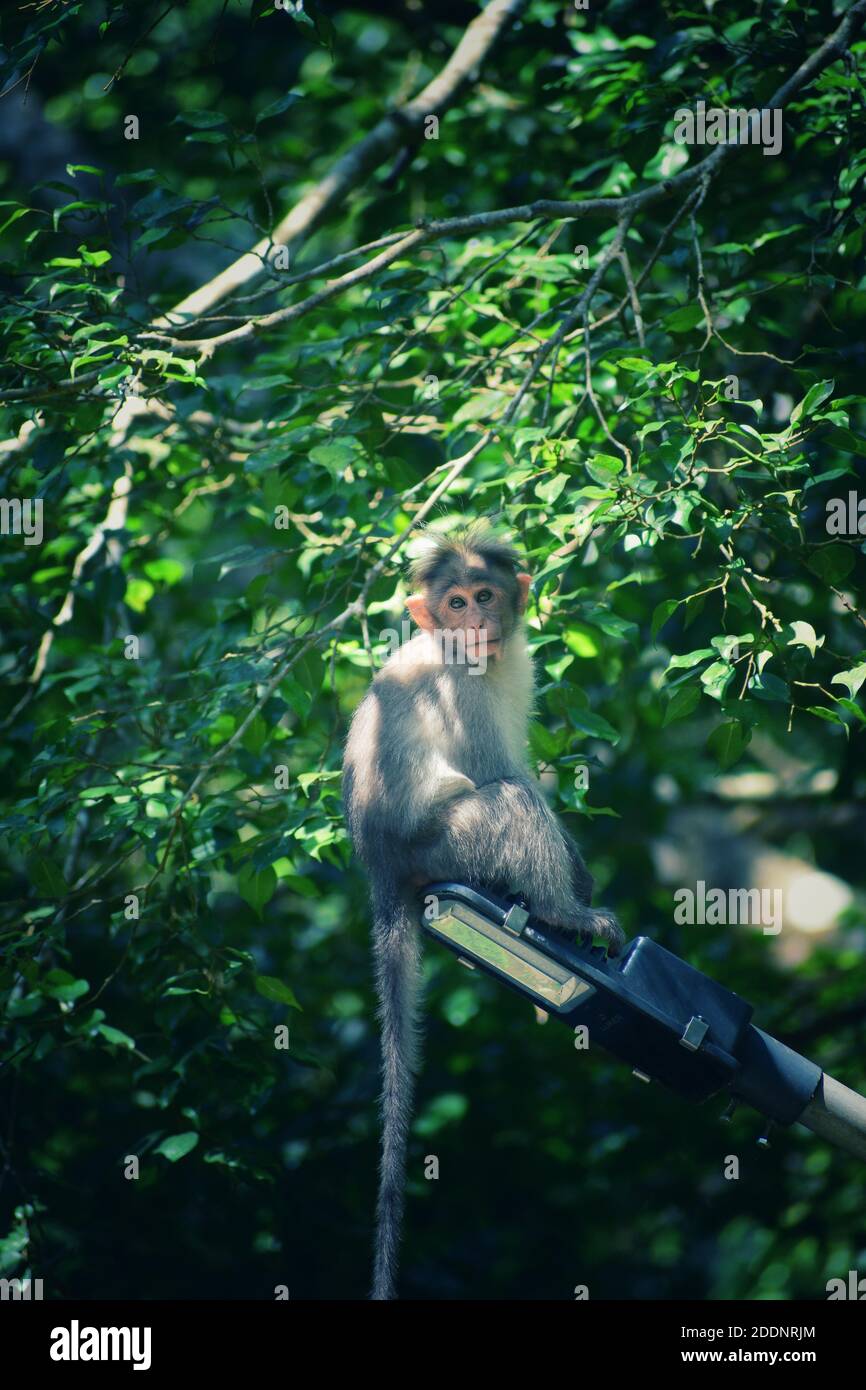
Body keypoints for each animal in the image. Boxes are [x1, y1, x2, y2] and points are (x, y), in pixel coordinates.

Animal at [342, 521, 624, 1300]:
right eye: (455, 602)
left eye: (485, 595)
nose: (472, 623)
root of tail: (383, 865)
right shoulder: (458, 685)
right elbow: (504, 772)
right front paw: (577, 895)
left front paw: (584, 876)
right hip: (449, 843)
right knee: (507, 801)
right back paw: (562, 913)